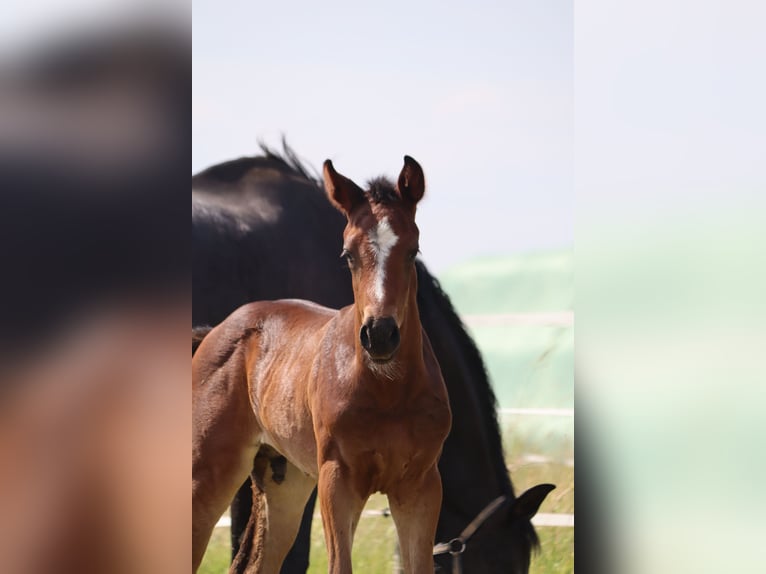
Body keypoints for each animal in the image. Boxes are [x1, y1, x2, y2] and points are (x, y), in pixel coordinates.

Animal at [191, 146, 552, 572]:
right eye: (347, 254)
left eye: (413, 250)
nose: (380, 335)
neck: (388, 392)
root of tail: (215, 331)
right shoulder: (337, 481)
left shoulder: (419, 485)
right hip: (209, 473)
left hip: (284, 480)